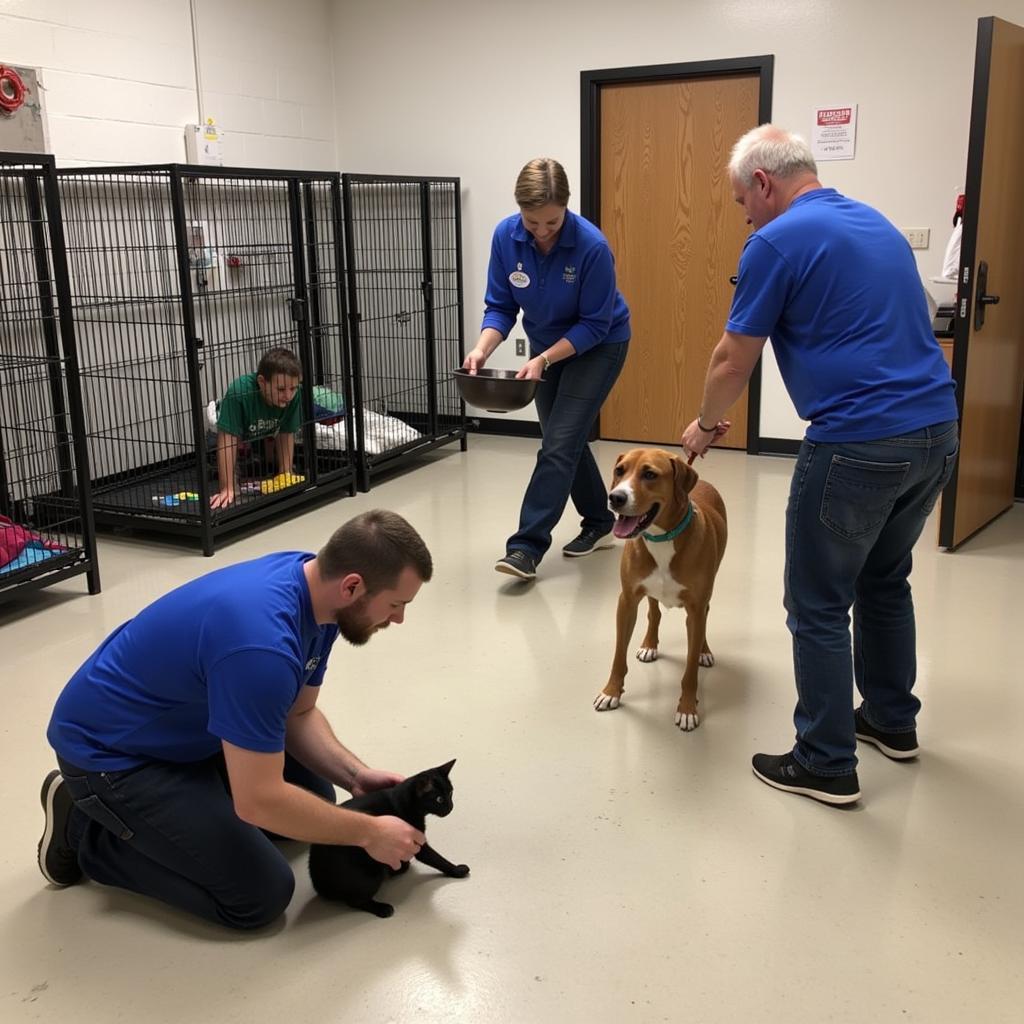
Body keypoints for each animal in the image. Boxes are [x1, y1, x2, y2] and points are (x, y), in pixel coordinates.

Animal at [309, 757, 468, 917]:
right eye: (439, 799)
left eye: (450, 793)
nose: (451, 807)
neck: (408, 801)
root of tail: (319, 884)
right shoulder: (416, 841)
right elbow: (437, 859)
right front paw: (457, 870)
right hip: (371, 871)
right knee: (354, 901)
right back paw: (383, 908)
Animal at [593, 448, 729, 729]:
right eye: (619, 471)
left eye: (649, 474)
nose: (615, 498)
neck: (662, 537)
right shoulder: (626, 601)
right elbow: (618, 656)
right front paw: (611, 692)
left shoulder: (695, 610)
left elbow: (690, 670)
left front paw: (687, 708)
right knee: (654, 612)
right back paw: (649, 644)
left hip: (706, 597)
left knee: (705, 618)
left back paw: (705, 651)